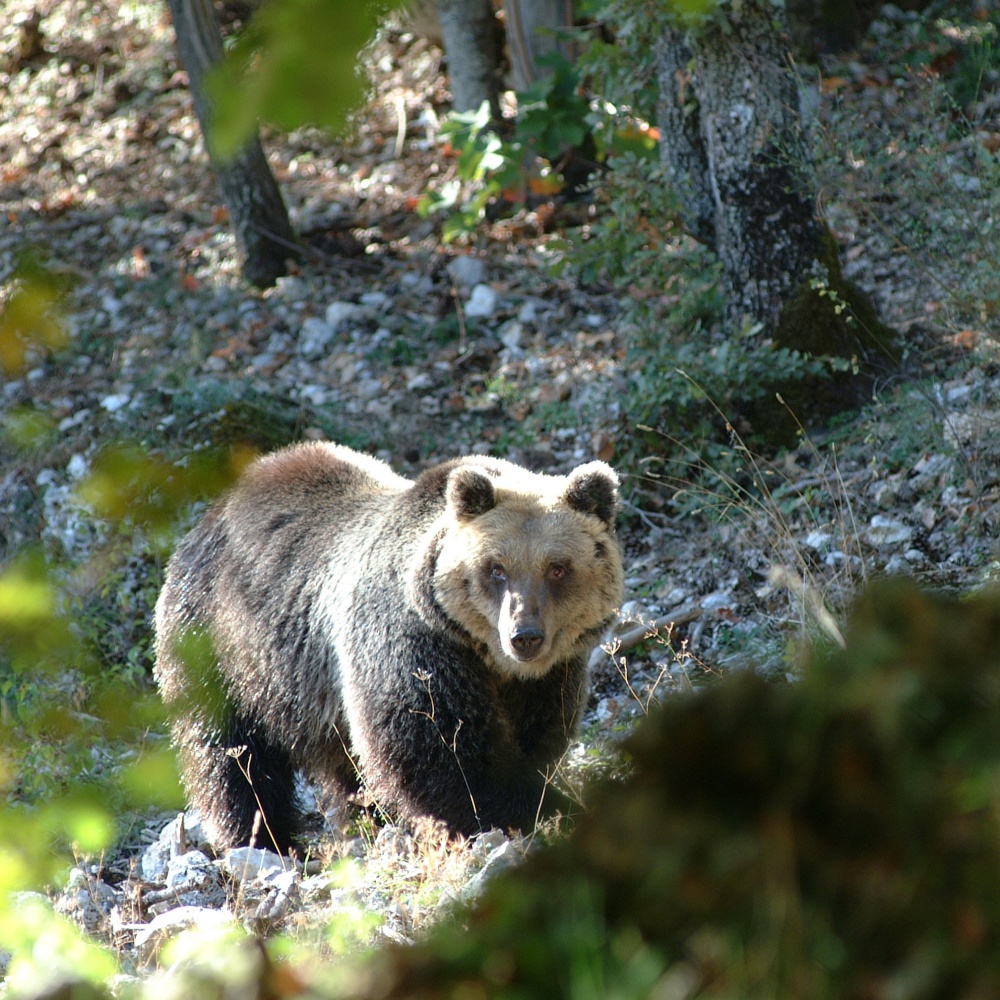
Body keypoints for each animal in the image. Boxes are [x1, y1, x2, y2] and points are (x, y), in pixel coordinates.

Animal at [152, 444, 620, 852]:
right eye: (496, 568)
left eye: (557, 568)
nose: (524, 635)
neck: (488, 657)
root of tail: (210, 514)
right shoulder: (411, 642)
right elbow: (440, 752)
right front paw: (541, 809)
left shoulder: (550, 675)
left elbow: (538, 736)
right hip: (222, 644)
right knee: (229, 754)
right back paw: (264, 839)